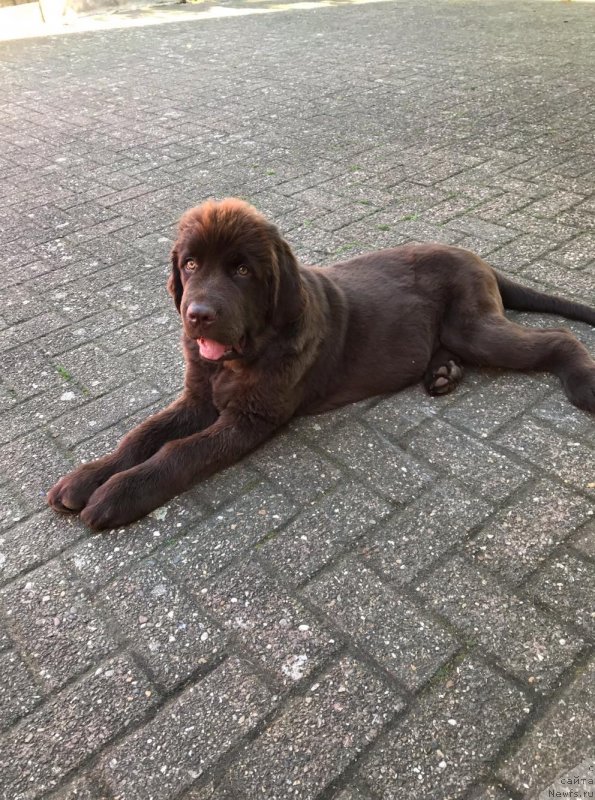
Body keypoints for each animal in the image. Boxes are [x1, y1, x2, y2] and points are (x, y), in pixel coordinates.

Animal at [47, 197, 595, 528]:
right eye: (191, 264)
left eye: (242, 270)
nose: (197, 314)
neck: (247, 352)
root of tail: (480, 259)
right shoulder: (198, 397)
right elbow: (142, 435)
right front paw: (89, 475)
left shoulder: (250, 418)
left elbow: (179, 452)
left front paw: (118, 494)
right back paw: (442, 374)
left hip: (475, 327)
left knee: (560, 337)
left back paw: (582, 381)